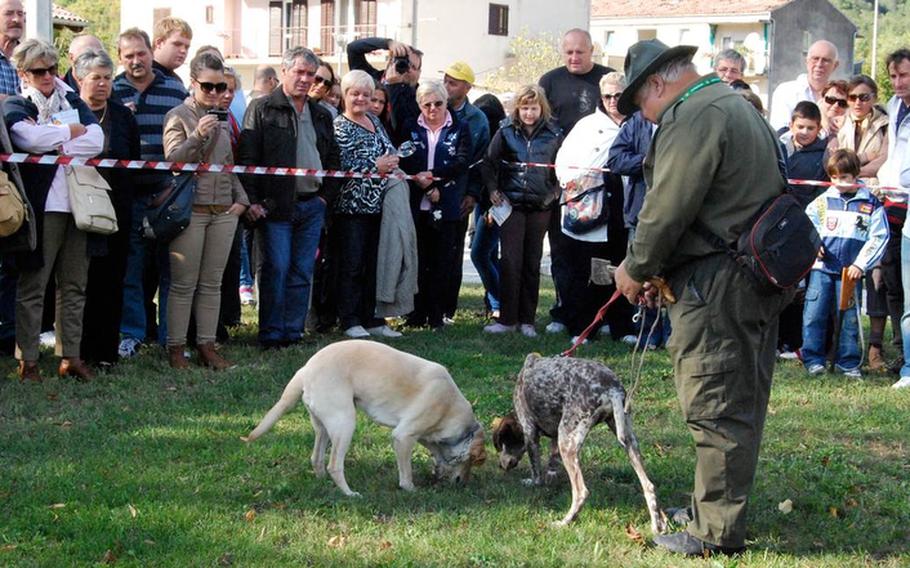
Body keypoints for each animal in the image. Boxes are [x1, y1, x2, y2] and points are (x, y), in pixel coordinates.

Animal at [496, 352, 668, 532]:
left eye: (502, 444)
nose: (501, 465)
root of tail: (612, 389)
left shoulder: (530, 433)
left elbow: (536, 471)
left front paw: (533, 482)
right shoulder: (555, 438)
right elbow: (551, 464)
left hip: (567, 443)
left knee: (581, 492)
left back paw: (565, 521)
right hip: (627, 439)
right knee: (648, 486)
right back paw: (658, 524)